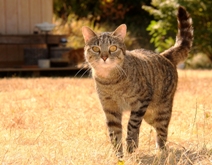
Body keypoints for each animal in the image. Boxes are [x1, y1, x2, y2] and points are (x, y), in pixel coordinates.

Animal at [81, 6, 194, 160]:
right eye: (96, 49)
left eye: (113, 48)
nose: (104, 57)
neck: (110, 81)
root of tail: (164, 55)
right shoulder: (110, 108)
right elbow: (114, 134)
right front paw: (119, 157)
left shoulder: (141, 102)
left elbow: (132, 126)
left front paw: (131, 147)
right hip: (149, 116)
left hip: (161, 111)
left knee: (162, 132)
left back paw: (162, 152)